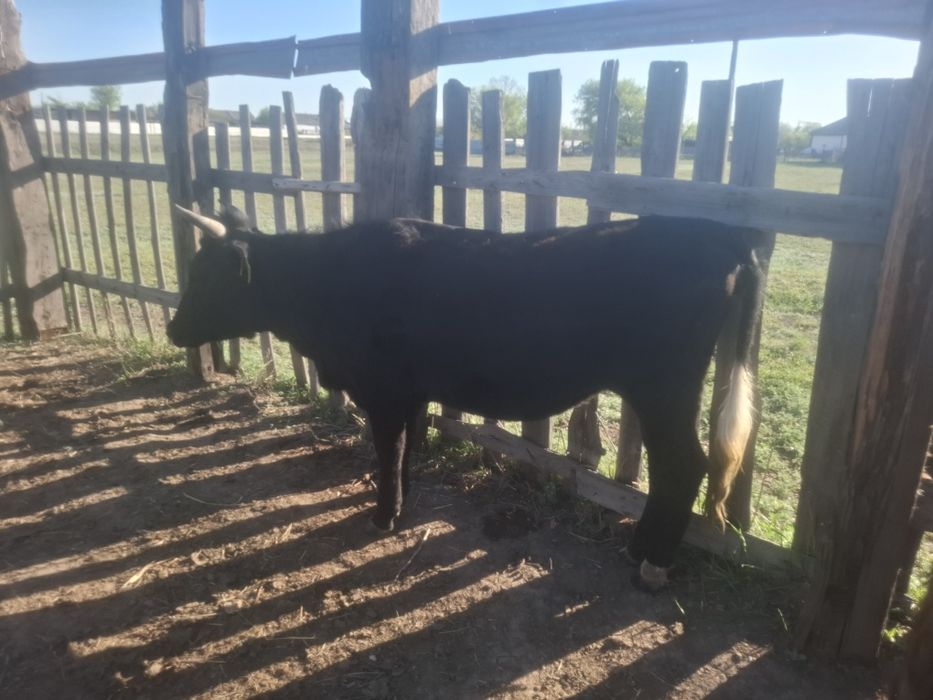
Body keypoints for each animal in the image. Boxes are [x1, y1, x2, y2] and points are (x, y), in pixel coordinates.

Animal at [167, 203, 762, 591]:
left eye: (207, 275)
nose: (173, 330)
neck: (329, 283)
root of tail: (718, 233)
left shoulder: (381, 389)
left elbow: (386, 450)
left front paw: (381, 517)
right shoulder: (408, 391)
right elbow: (407, 447)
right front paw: (402, 506)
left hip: (666, 388)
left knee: (684, 464)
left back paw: (651, 564)